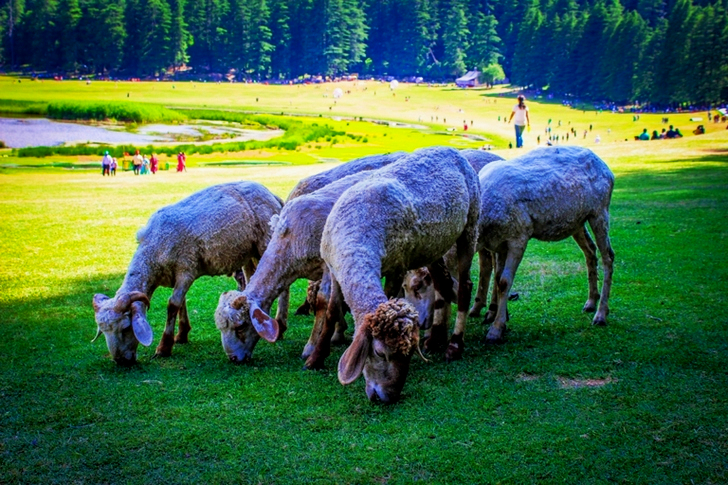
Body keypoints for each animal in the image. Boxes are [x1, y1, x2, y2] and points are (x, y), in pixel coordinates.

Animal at [92, 181, 288, 366]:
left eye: (126, 328)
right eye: (103, 331)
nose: (120, 361)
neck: (153, 251)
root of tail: (271, 194)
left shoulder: (186, 268)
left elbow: (173, 304)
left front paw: (164, 347)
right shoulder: (176, 275)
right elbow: (181, 303)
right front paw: (182, 334)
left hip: (266, 240)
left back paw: (280, 324)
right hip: (248, 251)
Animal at [321, 146, 481, 403]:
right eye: (379, 353)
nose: (388, 397)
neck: (356, 239)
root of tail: (451, 149)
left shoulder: (396, 266)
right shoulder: (334, 270)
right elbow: (332, 310)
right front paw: (315, 357)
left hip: (470, 225)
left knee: (464, 285)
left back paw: (454, 345)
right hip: (434, 245)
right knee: (444, 285)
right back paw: (436, 338)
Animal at [476, 146, 615, 343]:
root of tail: (605, 167)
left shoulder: (519, 235)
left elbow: (504, 282)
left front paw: (495, 330)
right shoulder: (500, 243)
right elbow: (498, 279)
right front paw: (501, 320)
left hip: (600, 211)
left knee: (608, 257)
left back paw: (601, 314)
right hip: (578, 221)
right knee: (590, 250)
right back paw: (590, 302)